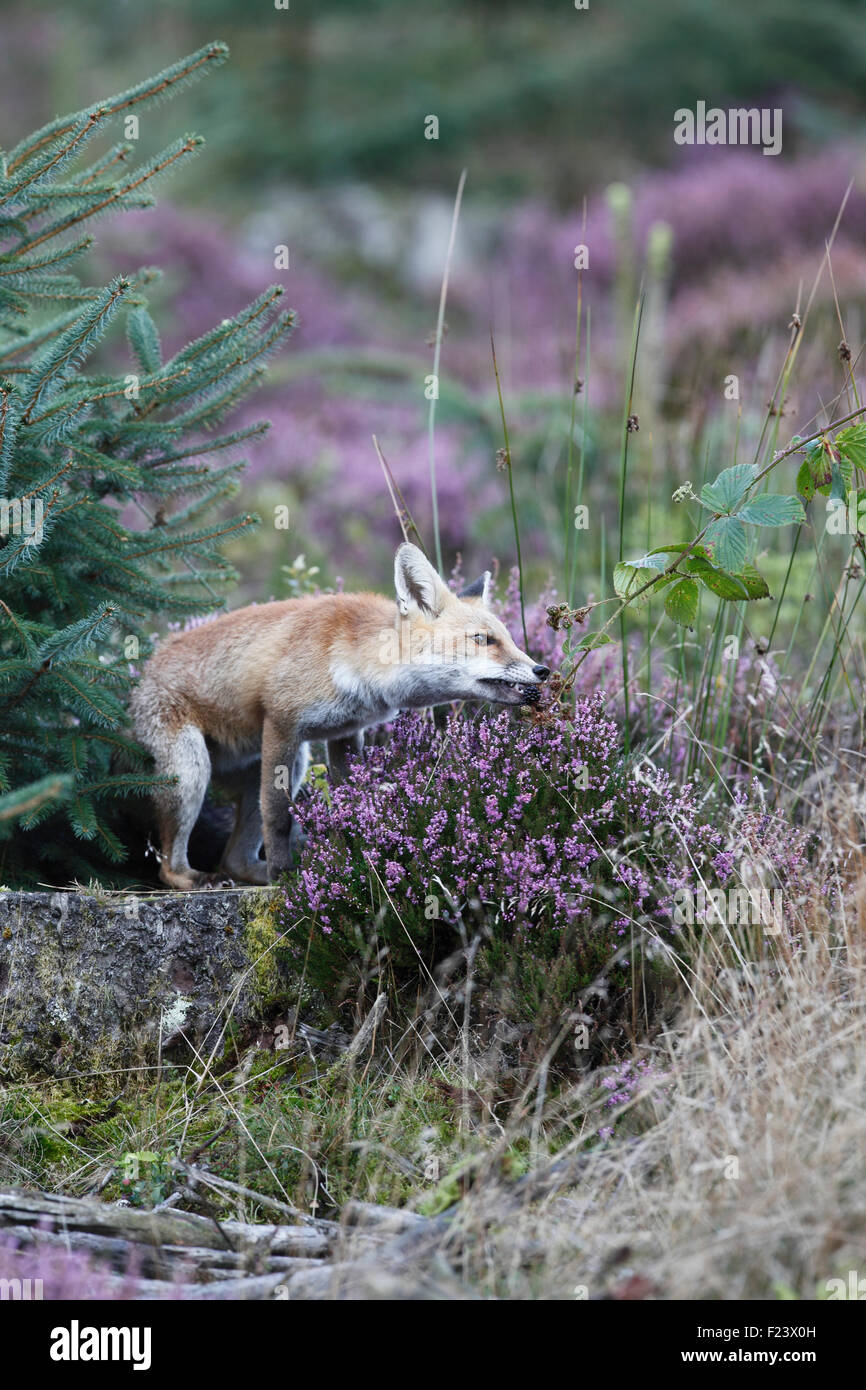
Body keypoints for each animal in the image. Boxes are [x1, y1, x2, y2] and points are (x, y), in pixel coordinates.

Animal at [131, 542, 549, 889]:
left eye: (510, 638)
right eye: (483, 640)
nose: (542, 670)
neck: (352, 660)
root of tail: (143, 674)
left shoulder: (344, 734)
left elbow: (351, 801)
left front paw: (349, 854)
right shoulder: (281, 723)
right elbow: (278, 814)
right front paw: (285, 881)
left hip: (273, 766)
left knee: (234, 860)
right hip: (193, 772)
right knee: (169, 867)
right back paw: (206, 878)